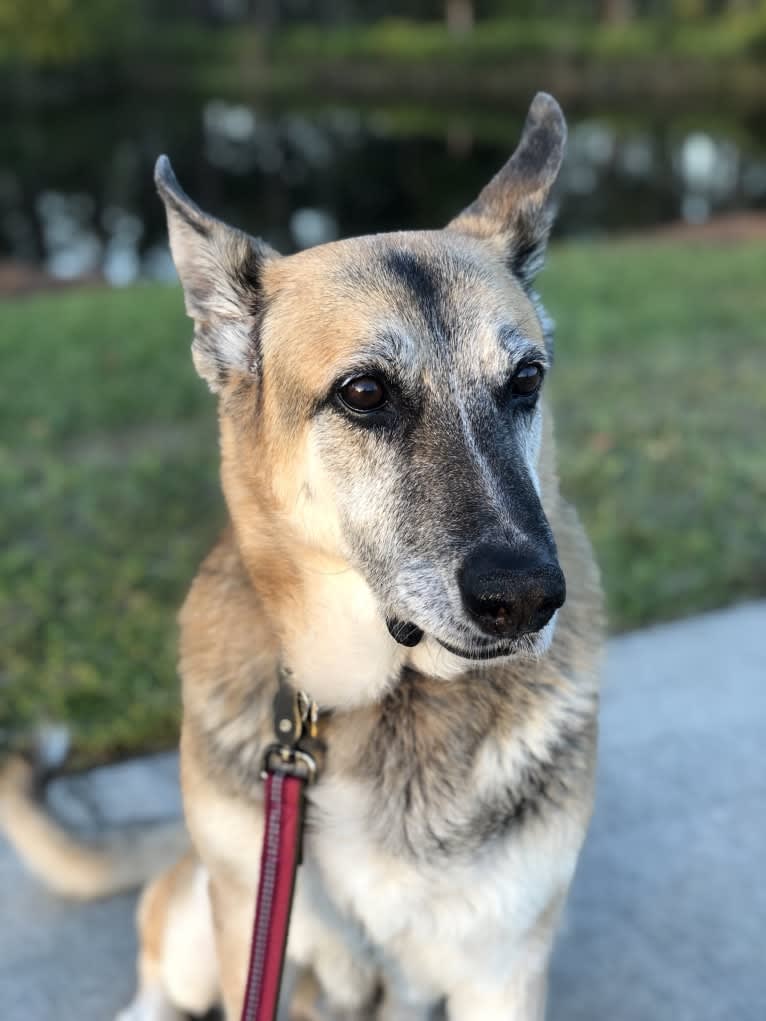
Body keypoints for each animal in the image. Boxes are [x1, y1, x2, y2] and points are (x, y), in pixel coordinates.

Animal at [0, 93, 604, 1021]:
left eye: (526, 380)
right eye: (364, 392)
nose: (526, 597)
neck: (388, 701)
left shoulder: (502, 968)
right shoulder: (258, 929)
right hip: (203, 915)